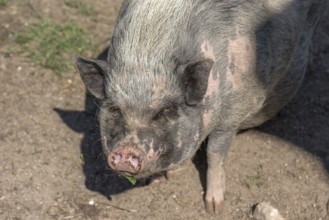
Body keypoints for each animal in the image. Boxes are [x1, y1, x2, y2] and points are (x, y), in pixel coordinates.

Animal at [75, 0, 326, 214]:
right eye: (115, 109)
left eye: (165, 111)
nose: (126, 151)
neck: (147, 59)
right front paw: (156, 181)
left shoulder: (229, 117)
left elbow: (215, 155)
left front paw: (213, 208)